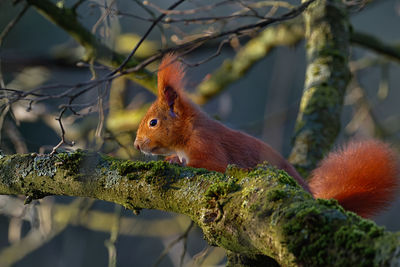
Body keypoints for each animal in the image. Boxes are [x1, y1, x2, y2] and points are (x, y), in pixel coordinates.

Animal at [135, 54, 400, 218]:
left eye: (153, 122)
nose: (137, 145)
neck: (189, 130)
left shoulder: (206, 143)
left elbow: (213, 165)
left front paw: (176, 162)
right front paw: (172, 158)